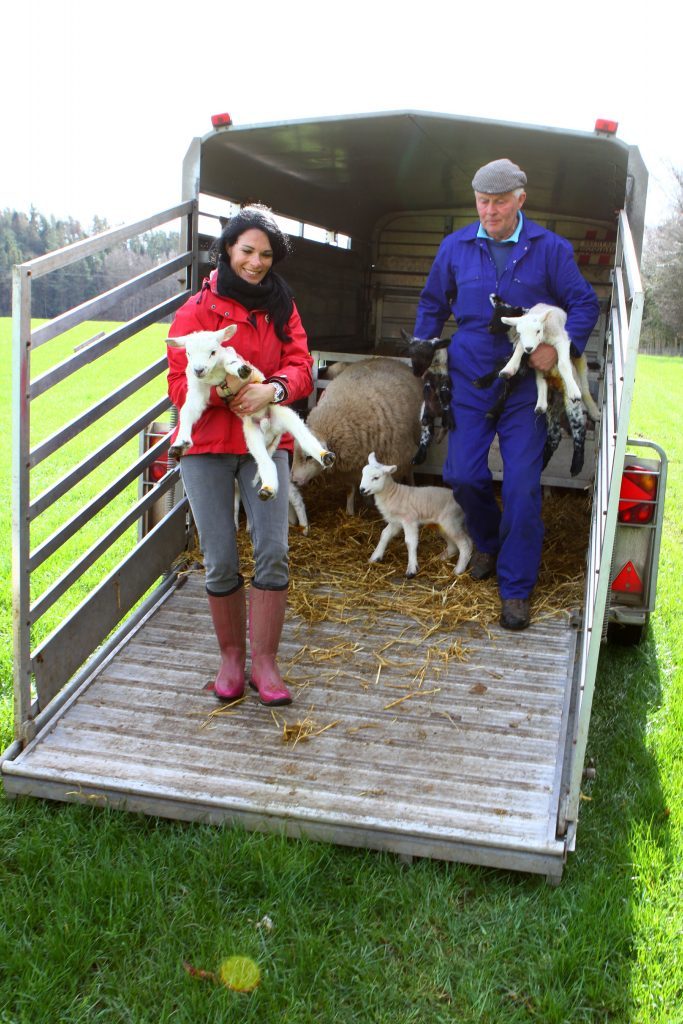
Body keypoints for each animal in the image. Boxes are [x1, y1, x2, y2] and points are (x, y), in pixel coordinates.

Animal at [166, 327, 335, 499]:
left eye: (213, 352)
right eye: (188, 353)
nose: (198, 370)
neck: (212, 374)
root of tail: (271, 428)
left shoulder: (227, 355)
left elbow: (231, 363)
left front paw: (241, 370)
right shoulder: (198, 388)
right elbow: (188, 411)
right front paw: (180, 444)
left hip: (284, 414)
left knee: (305, 438)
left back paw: (325, 456)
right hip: (253, 435)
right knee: (267, 462)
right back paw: (267, 489)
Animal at [290, 358, 423, 516]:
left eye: (309, 457)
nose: (293, 481)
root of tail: (393, 360)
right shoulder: (350, 469)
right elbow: (351, 489)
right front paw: (350, 511)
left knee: (410, 469)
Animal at [358, 452, 475, 581]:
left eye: (376, 478)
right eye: (363, 474)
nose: (362, 490)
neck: (392, 494)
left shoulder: (409, 519)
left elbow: (410, 541)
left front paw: (411, 569)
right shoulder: (396, 522)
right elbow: (385, 534)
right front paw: (375, 557)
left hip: (451, 521)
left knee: (465, 544)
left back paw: (459, 570)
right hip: (444, 524)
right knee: (456, 544)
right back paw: (440, 558)